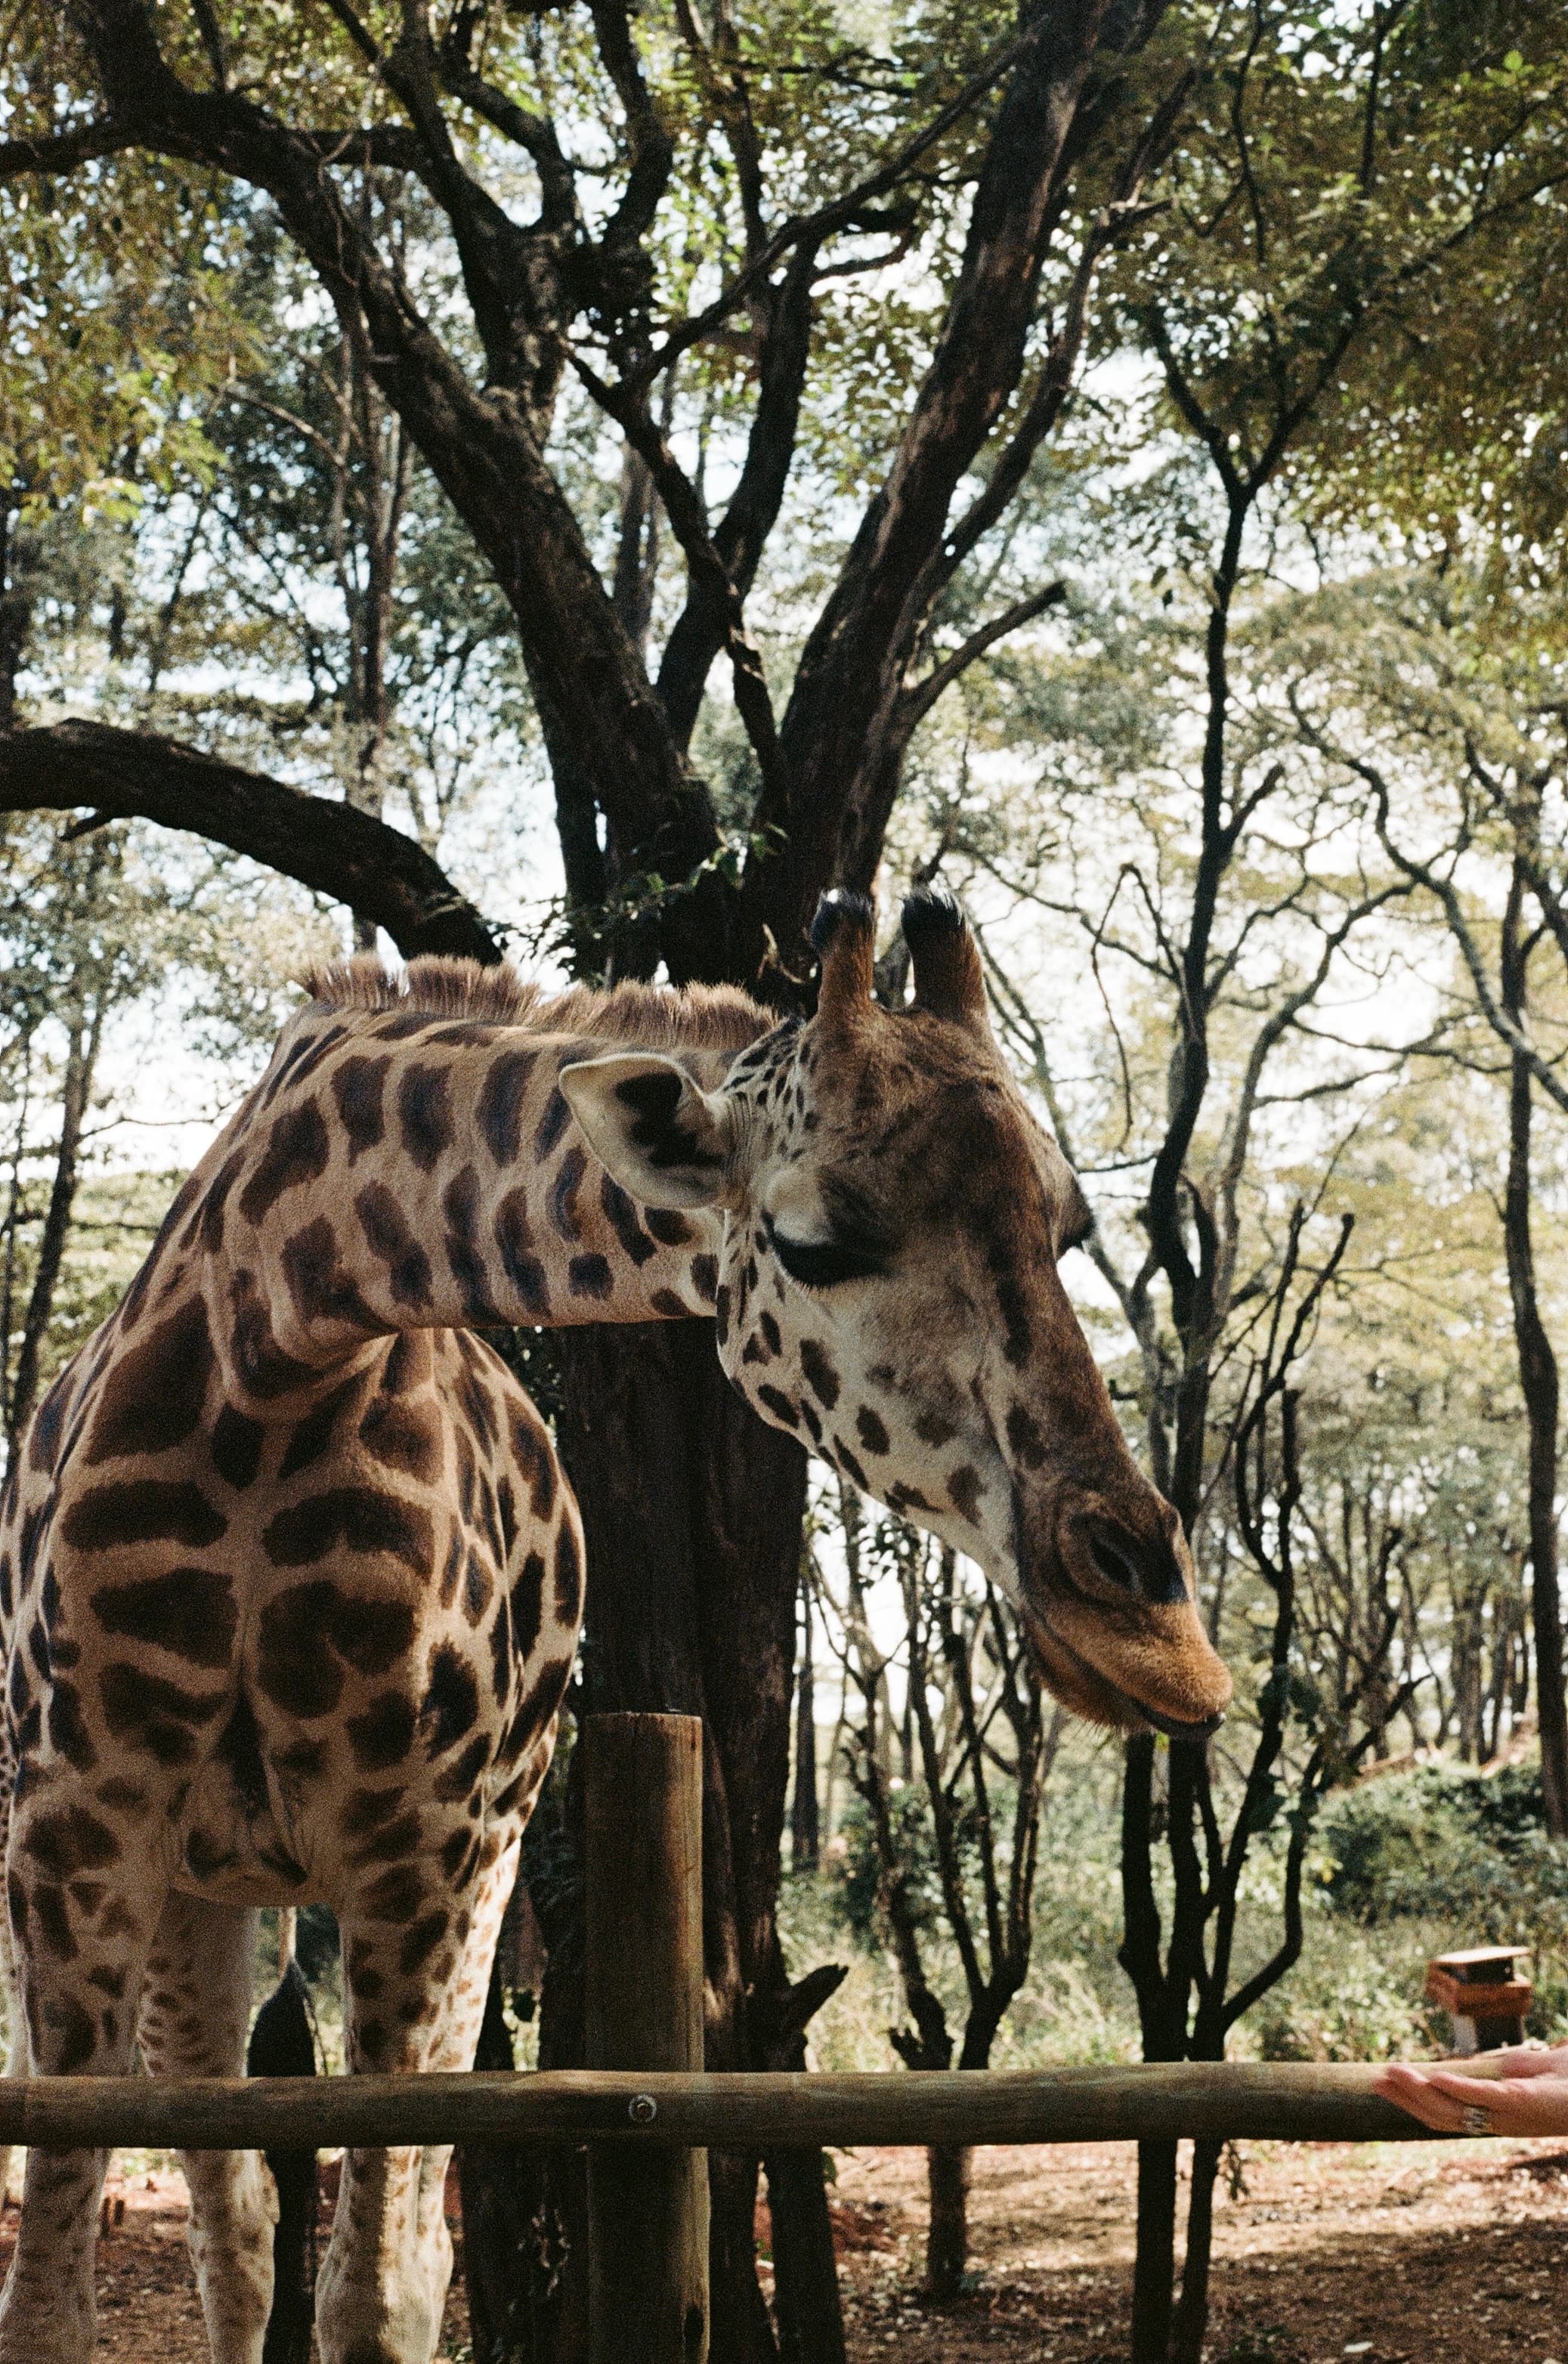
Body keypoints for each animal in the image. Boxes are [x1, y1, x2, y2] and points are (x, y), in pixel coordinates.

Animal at [0, 885, 1229, 2364]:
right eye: (815, 1241)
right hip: (197, 1882)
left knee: (331, 2236)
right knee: (233, 2226)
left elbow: (376, 2294)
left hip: (442, 1883)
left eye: (1066, 1228)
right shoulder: (77, 1829)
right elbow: (53, 2302)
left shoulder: (425, 1854)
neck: (277, 1355)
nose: (1156, 1634)